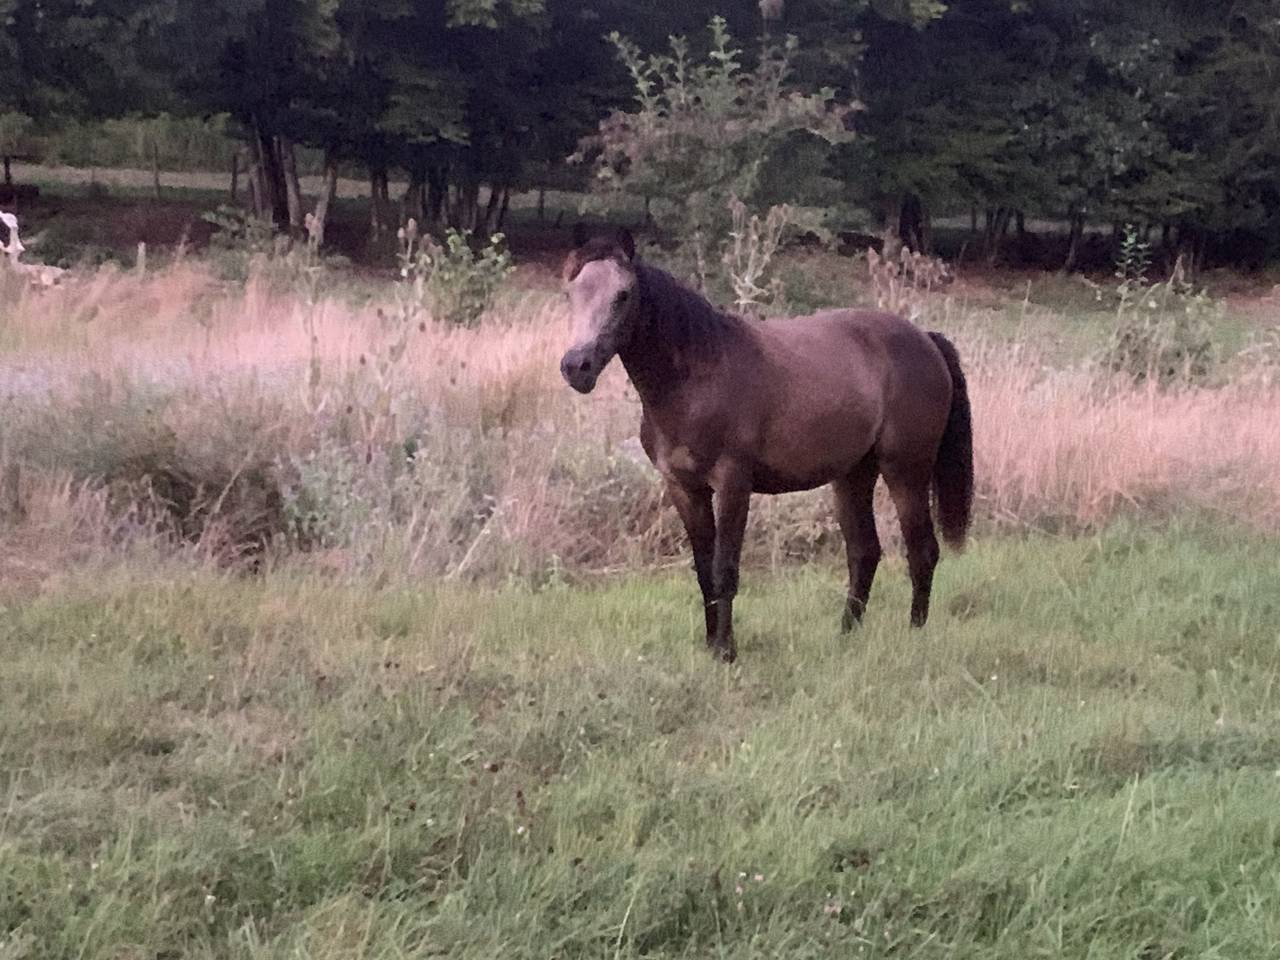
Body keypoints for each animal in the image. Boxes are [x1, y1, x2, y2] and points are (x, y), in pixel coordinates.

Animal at [559, 229, 973, 663]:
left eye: (623, 294)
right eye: (571, 293)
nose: (576, 367)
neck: (695, 381)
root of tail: (926, 340)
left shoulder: (732, 485)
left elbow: (724, 571)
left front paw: (726, 652)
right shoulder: (684, 488)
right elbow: (704, 571)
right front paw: (712, 645)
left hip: (905, 471)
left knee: (922, 550)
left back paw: (915, 635)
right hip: (853, 475)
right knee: (864, 552)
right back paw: (846, 635)